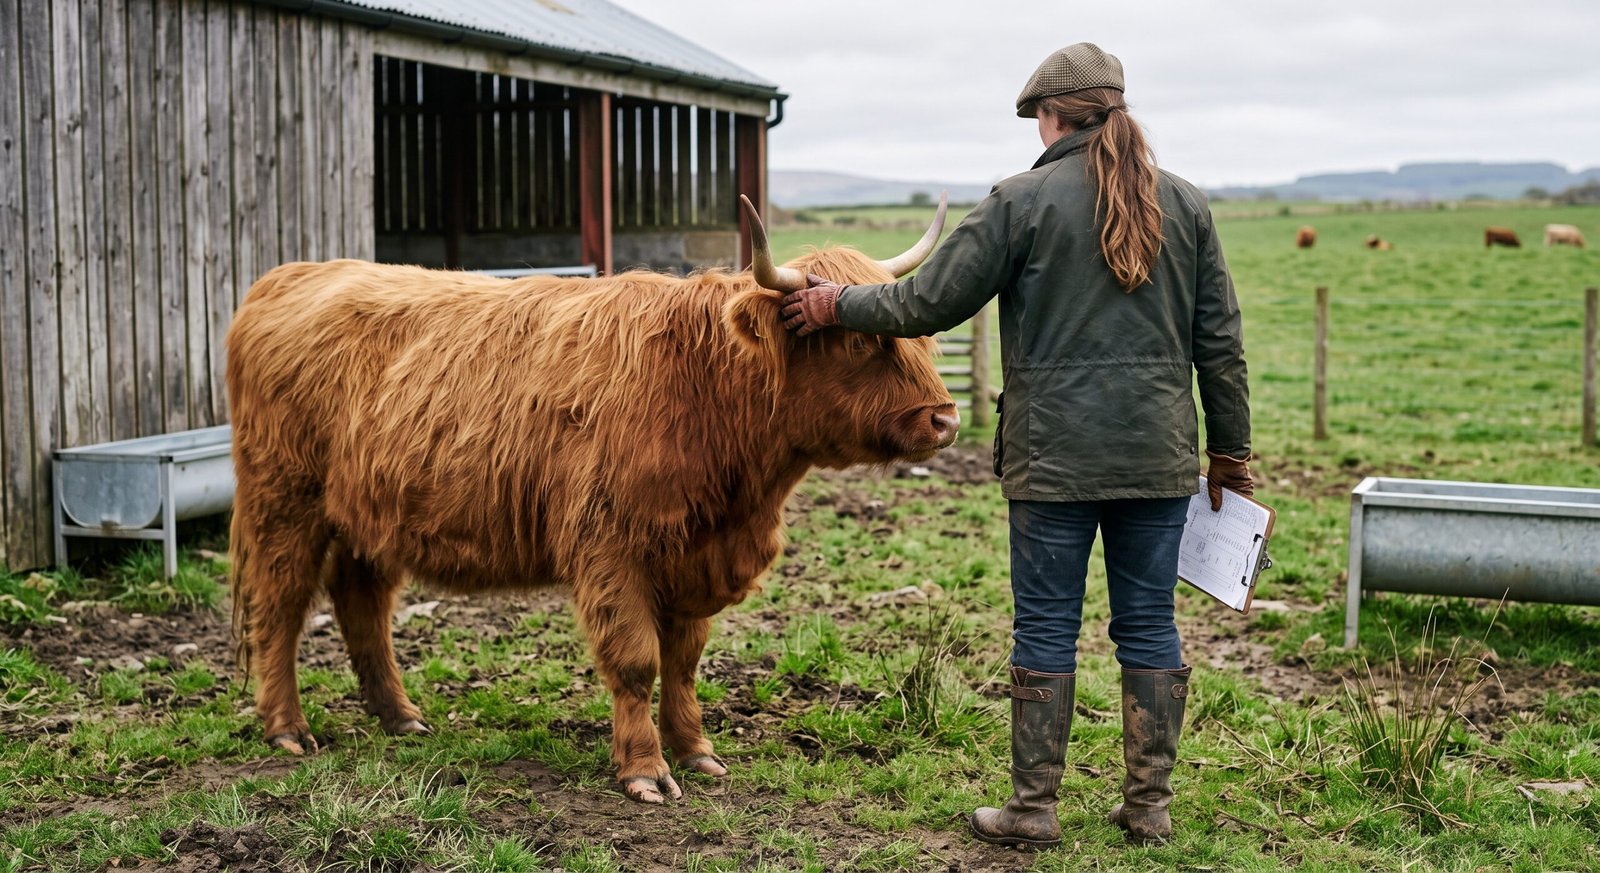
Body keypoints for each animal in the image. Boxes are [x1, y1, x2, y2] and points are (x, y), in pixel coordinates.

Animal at [225, 196, 959, 804]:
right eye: (859, 337)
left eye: (922, 336)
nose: (946, 419)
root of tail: (287, 276)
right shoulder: (612, 546)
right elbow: (636, 662)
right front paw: (644, 771)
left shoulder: (693, 555)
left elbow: (683, 662)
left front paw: (696, 751)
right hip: (285, 500)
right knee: (280, 605)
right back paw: (286, 727)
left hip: (369, 514)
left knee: (363, 606)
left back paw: (400, 716)